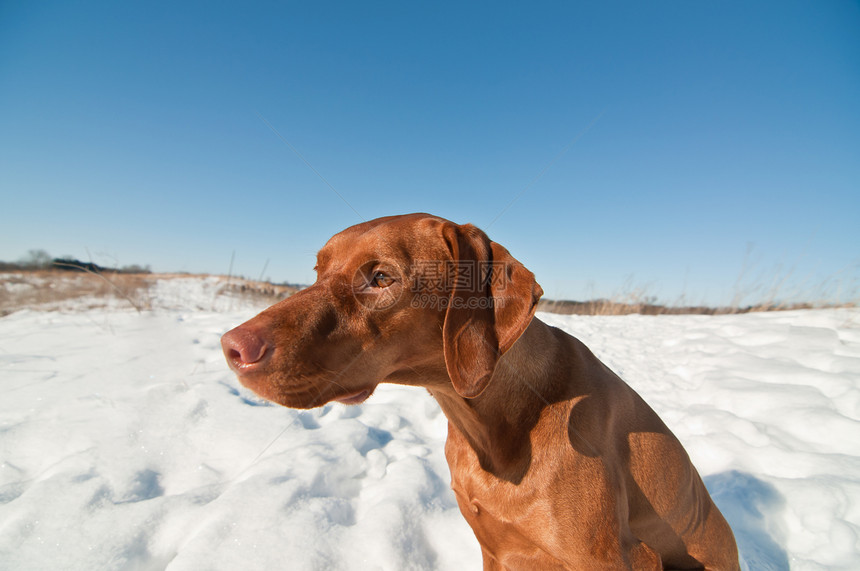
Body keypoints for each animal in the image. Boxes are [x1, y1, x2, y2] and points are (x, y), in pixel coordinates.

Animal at [222, 216, 740, 571]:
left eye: (382, 277)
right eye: (316, 271)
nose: (232, 347)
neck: (495, 426)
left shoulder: (613, 558)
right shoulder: (495, 550)